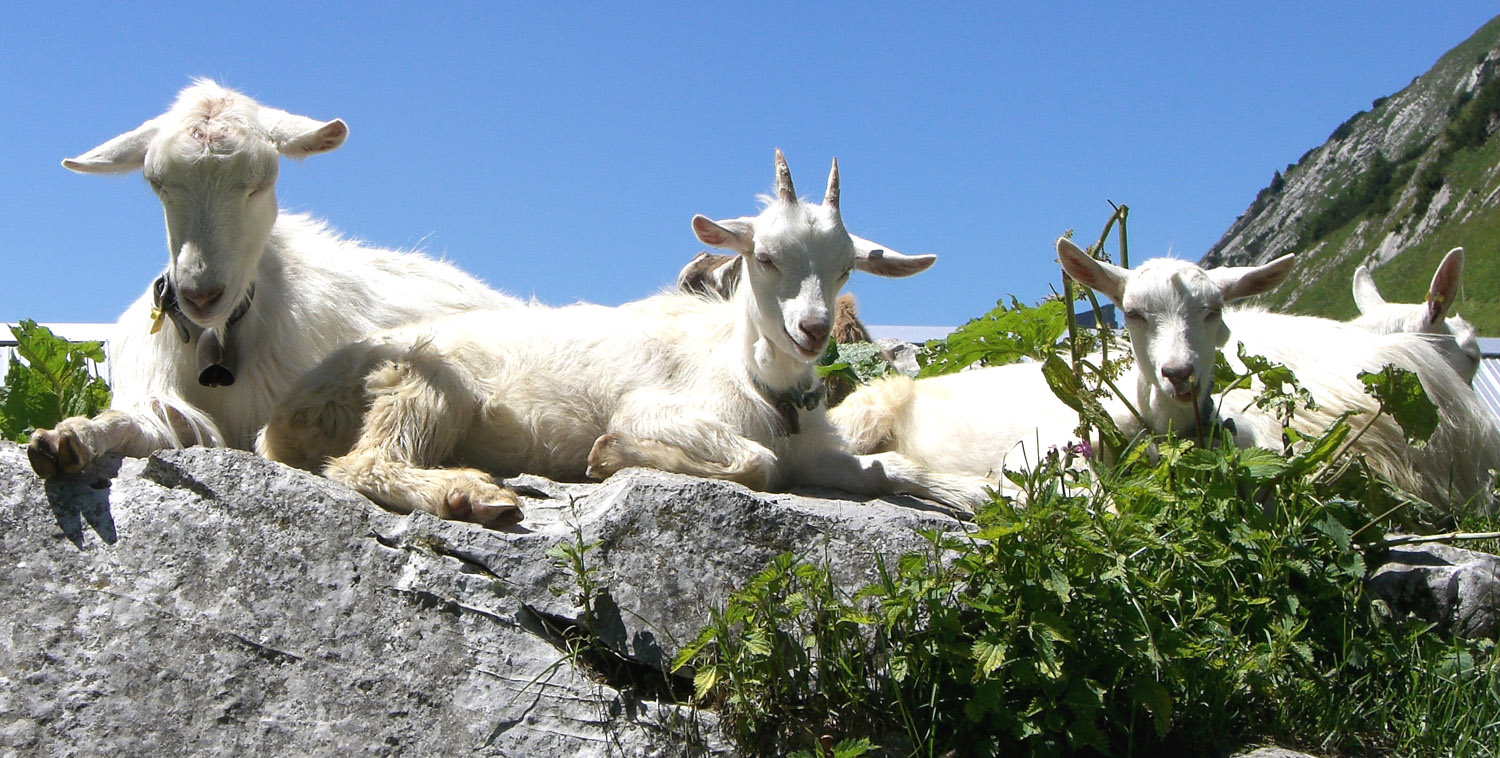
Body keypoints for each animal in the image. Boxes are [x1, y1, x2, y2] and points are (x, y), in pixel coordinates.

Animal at [21, 78, 516, 477]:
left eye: (261, 181)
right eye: (156, 182)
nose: (202, 294)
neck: (219, 337)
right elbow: (136, 423)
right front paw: (65, 440)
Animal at [258, 149, 996, 525]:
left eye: (846, 267)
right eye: (765, 257)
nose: (812, 330)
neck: (753, 378)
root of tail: (280, 420)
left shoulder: (818, 450)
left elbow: (890, 466)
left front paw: (982, 493)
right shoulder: (660, 408)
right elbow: (755, 463)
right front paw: (612, 454)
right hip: (421, 382)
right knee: (361, 464)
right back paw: (470, 493)